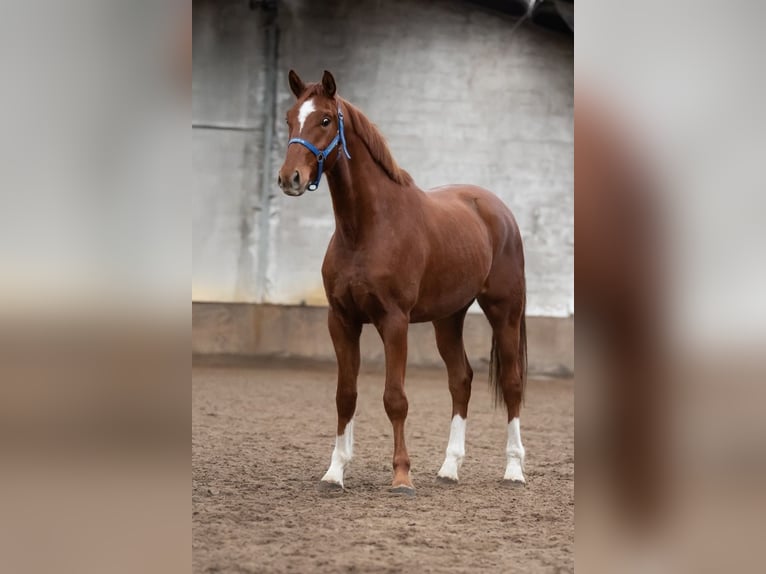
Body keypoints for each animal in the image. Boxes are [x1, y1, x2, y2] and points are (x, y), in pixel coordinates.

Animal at [278, 70, 528, 494]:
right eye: (289, 119)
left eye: (325, 120)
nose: (289, 178)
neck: (366, 229)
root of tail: (498, 210)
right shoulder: (341, 320)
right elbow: (346, 395)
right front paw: (335, 471)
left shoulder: (394, 321)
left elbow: (395, 398)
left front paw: (401, 476)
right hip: (448, 319)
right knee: (461, 380)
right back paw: (449, 469)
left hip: (504, 313)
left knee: (511, 383)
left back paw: (513, 470)